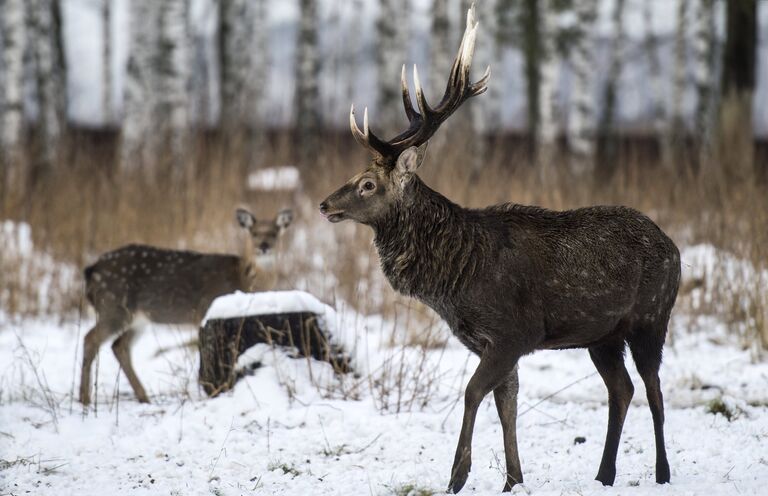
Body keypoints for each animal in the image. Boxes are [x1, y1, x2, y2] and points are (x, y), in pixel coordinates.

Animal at [79, 207, 292, 404]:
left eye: (274, 233)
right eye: (254, 233)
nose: (263, 246)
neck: (244, 280)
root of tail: (91, 271)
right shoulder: (205, 309)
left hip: (137, 318)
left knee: (119, 345)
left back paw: (143, 397)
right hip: (113, 306)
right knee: (90, 339)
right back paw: (85, 399)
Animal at [318, 3, 680, 492]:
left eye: (367, 184)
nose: (324, 204)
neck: (455, 279)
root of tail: (675, 248)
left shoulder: (514, 332)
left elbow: (474, 392)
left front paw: (457, 475)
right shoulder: (488, 341)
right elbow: (506, 401)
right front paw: (512, 479)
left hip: (651, 318)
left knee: (654, 389)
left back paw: (662, 472)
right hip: (603, 335)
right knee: (621, 388)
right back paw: (604, 474)